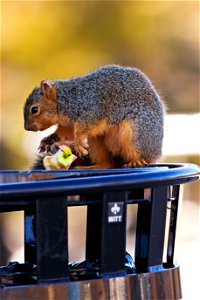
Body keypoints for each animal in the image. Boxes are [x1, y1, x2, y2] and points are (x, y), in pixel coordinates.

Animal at [23, 65, 165, 169]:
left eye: (34, 109)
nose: (27, 128)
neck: (64, 100)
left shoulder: (92, 109)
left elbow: (83, 128)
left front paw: (79, 141)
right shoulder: (68, 124)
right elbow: (65, 133)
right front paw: (49, 140)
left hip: (136, 131)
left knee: (143, 155)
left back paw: (137, 161)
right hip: (97, 140)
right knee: (108, 164)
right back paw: (92, 167)